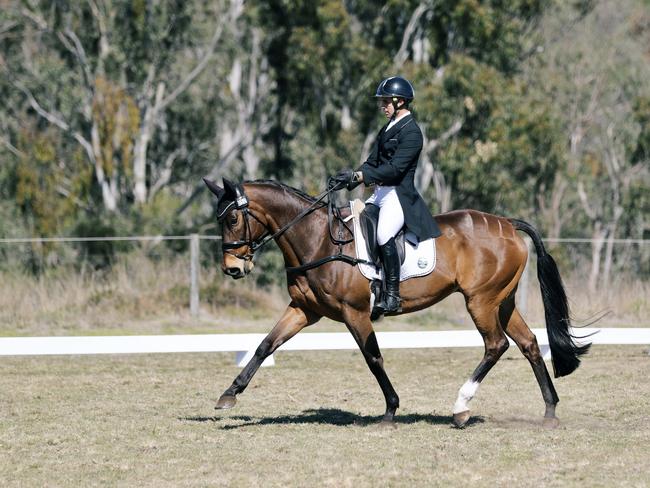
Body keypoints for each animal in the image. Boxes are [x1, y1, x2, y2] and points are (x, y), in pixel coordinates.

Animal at [202, 178, 588, 428]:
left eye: (233, 218)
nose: (232, 268)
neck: (317, 239)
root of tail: (507, 223)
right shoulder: (304, 310)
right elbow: (265, 345)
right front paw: (229, 395)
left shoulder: (354, 312)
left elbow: (373, 357)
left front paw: (390, 410)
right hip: (502, 302)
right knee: (529, 343)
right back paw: (549, 410)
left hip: (480, 301)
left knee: (496, 345)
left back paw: (460, 409)